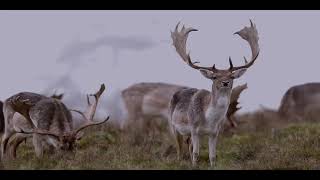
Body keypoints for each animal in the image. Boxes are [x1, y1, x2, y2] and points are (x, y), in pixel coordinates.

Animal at [169, 19, 258, 166]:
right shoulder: (194, 129)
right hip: (173, 126)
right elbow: (196, 154)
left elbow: (212, 156)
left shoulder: (215, 133)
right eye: (215, 77)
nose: (225, 82)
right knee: (179, 149)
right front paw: (194, 166)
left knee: (188, 145)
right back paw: (179, 161)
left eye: (231, 76)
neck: (209, 120)